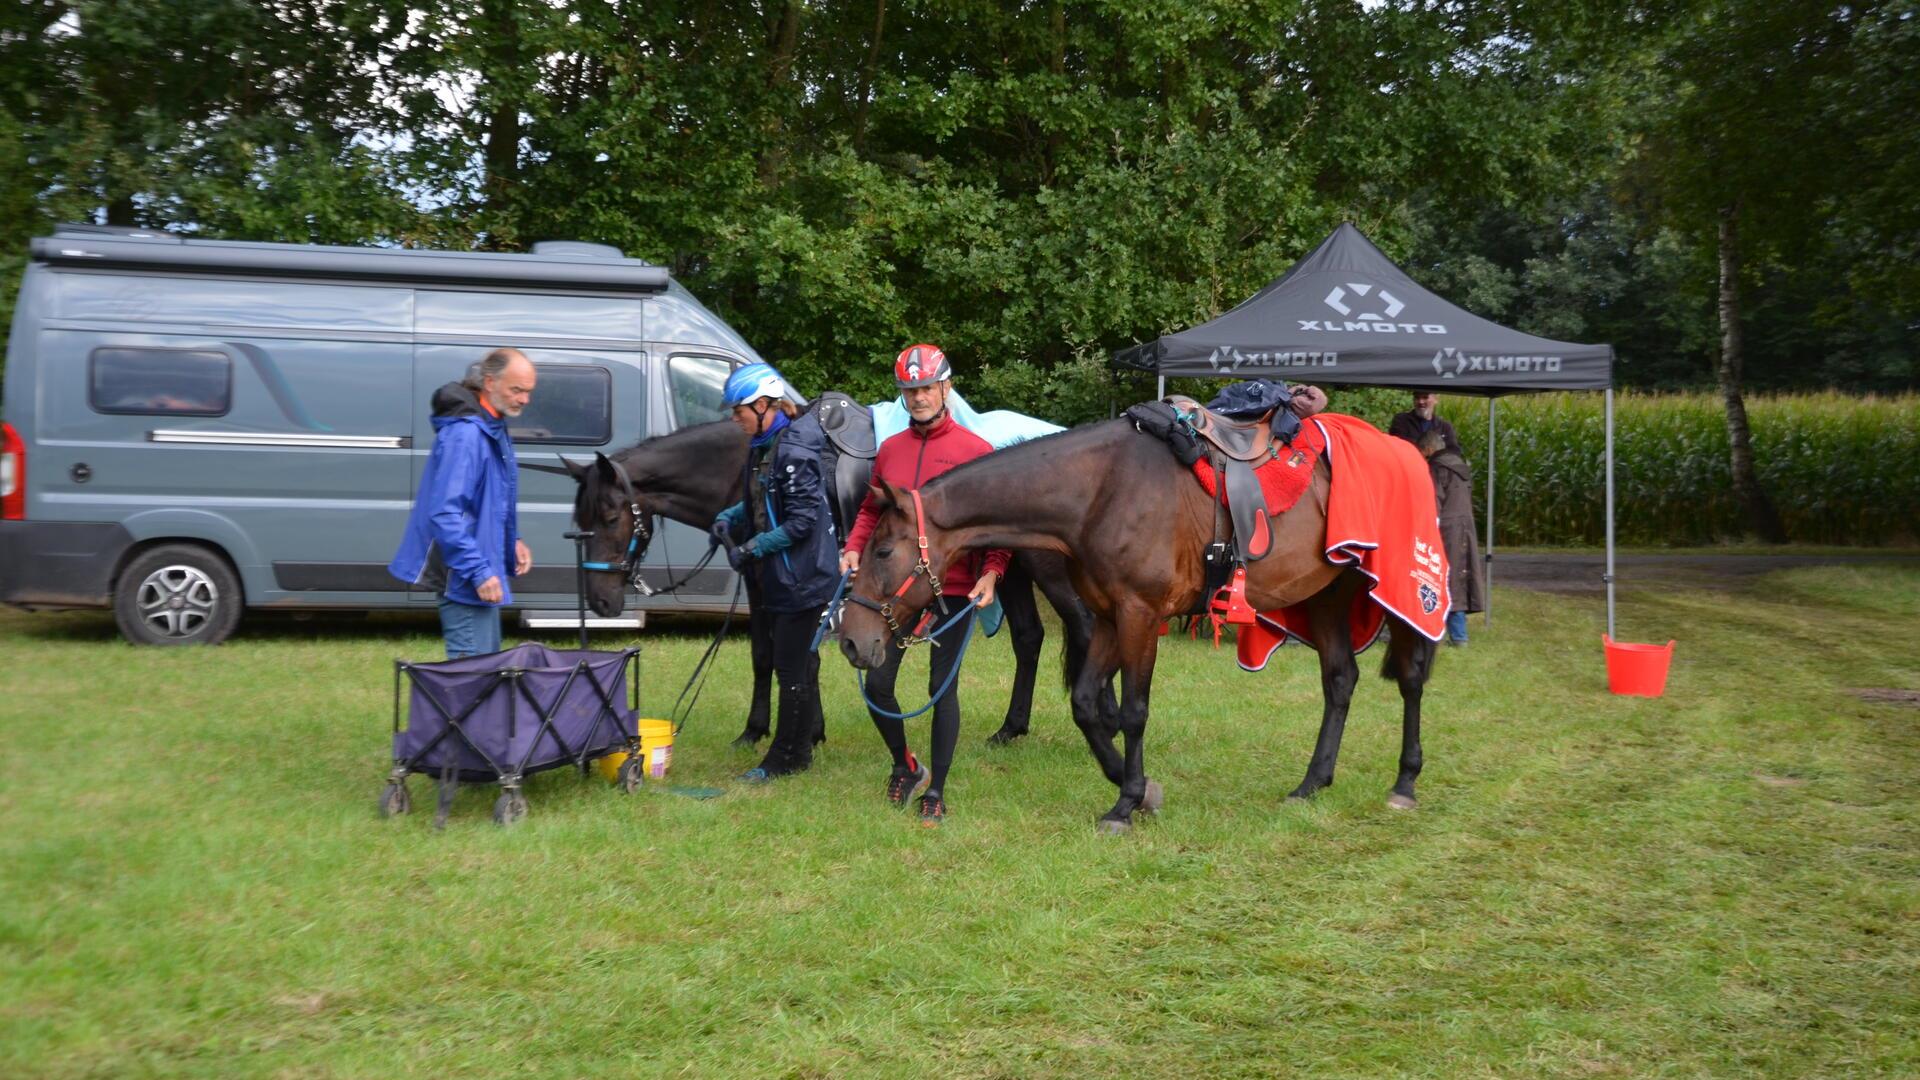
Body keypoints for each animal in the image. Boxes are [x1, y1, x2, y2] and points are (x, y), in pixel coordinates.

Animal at [560, 417, 1113, 745]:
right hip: (1009, 573)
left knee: (1085, 627)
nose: (601, 602)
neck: (752, 472)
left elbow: (778, 655)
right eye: (579, 518)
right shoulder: (775, 586)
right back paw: (1011, 728)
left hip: (1046, 571)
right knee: (1029, 638)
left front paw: (767, 731)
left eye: (610, 516)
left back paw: (1104, 716)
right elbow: (783, 655)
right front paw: (803, 729)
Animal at [840, 417, 1443, 826]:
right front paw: (1136, 786)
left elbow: (1133, 710)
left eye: (884, 551)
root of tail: (1410, 453)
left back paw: (1405, 782)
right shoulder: (1110, 616)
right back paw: (1312, 783)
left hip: (1402, 599)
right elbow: (1086, 703)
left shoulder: (1140, 615)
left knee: (1411, 679)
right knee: (1340, 680)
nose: (850, 640)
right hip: (1325, 597)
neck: (1100, 492)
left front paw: (1125, 803)